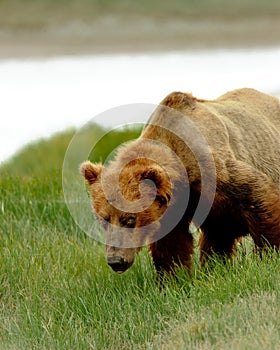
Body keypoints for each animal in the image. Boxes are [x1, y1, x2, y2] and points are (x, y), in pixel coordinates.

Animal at [80, 88, 278, 276]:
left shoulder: (217, 171)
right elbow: (172, 245)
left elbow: (259, 198)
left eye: (130, 219)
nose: (116, 260)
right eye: (103, 219)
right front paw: (174, 277)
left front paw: (269, 256)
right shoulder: (173, 205)